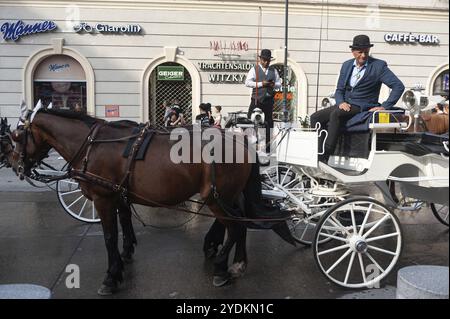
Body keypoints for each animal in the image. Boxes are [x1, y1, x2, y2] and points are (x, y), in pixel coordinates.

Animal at [7, 109, 296, 296]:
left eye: (17, 136)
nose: (15, 166)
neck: (93, 145)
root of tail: (240, 141)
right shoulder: (119, 195)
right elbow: (124, 224)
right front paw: (124, 258)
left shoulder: (103, 199)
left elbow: (109, 237)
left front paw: (111, 276)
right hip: (229, 196)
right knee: (241, 224)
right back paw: (236, 262)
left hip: (217, 197)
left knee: (235, 227)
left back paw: (221, 269)